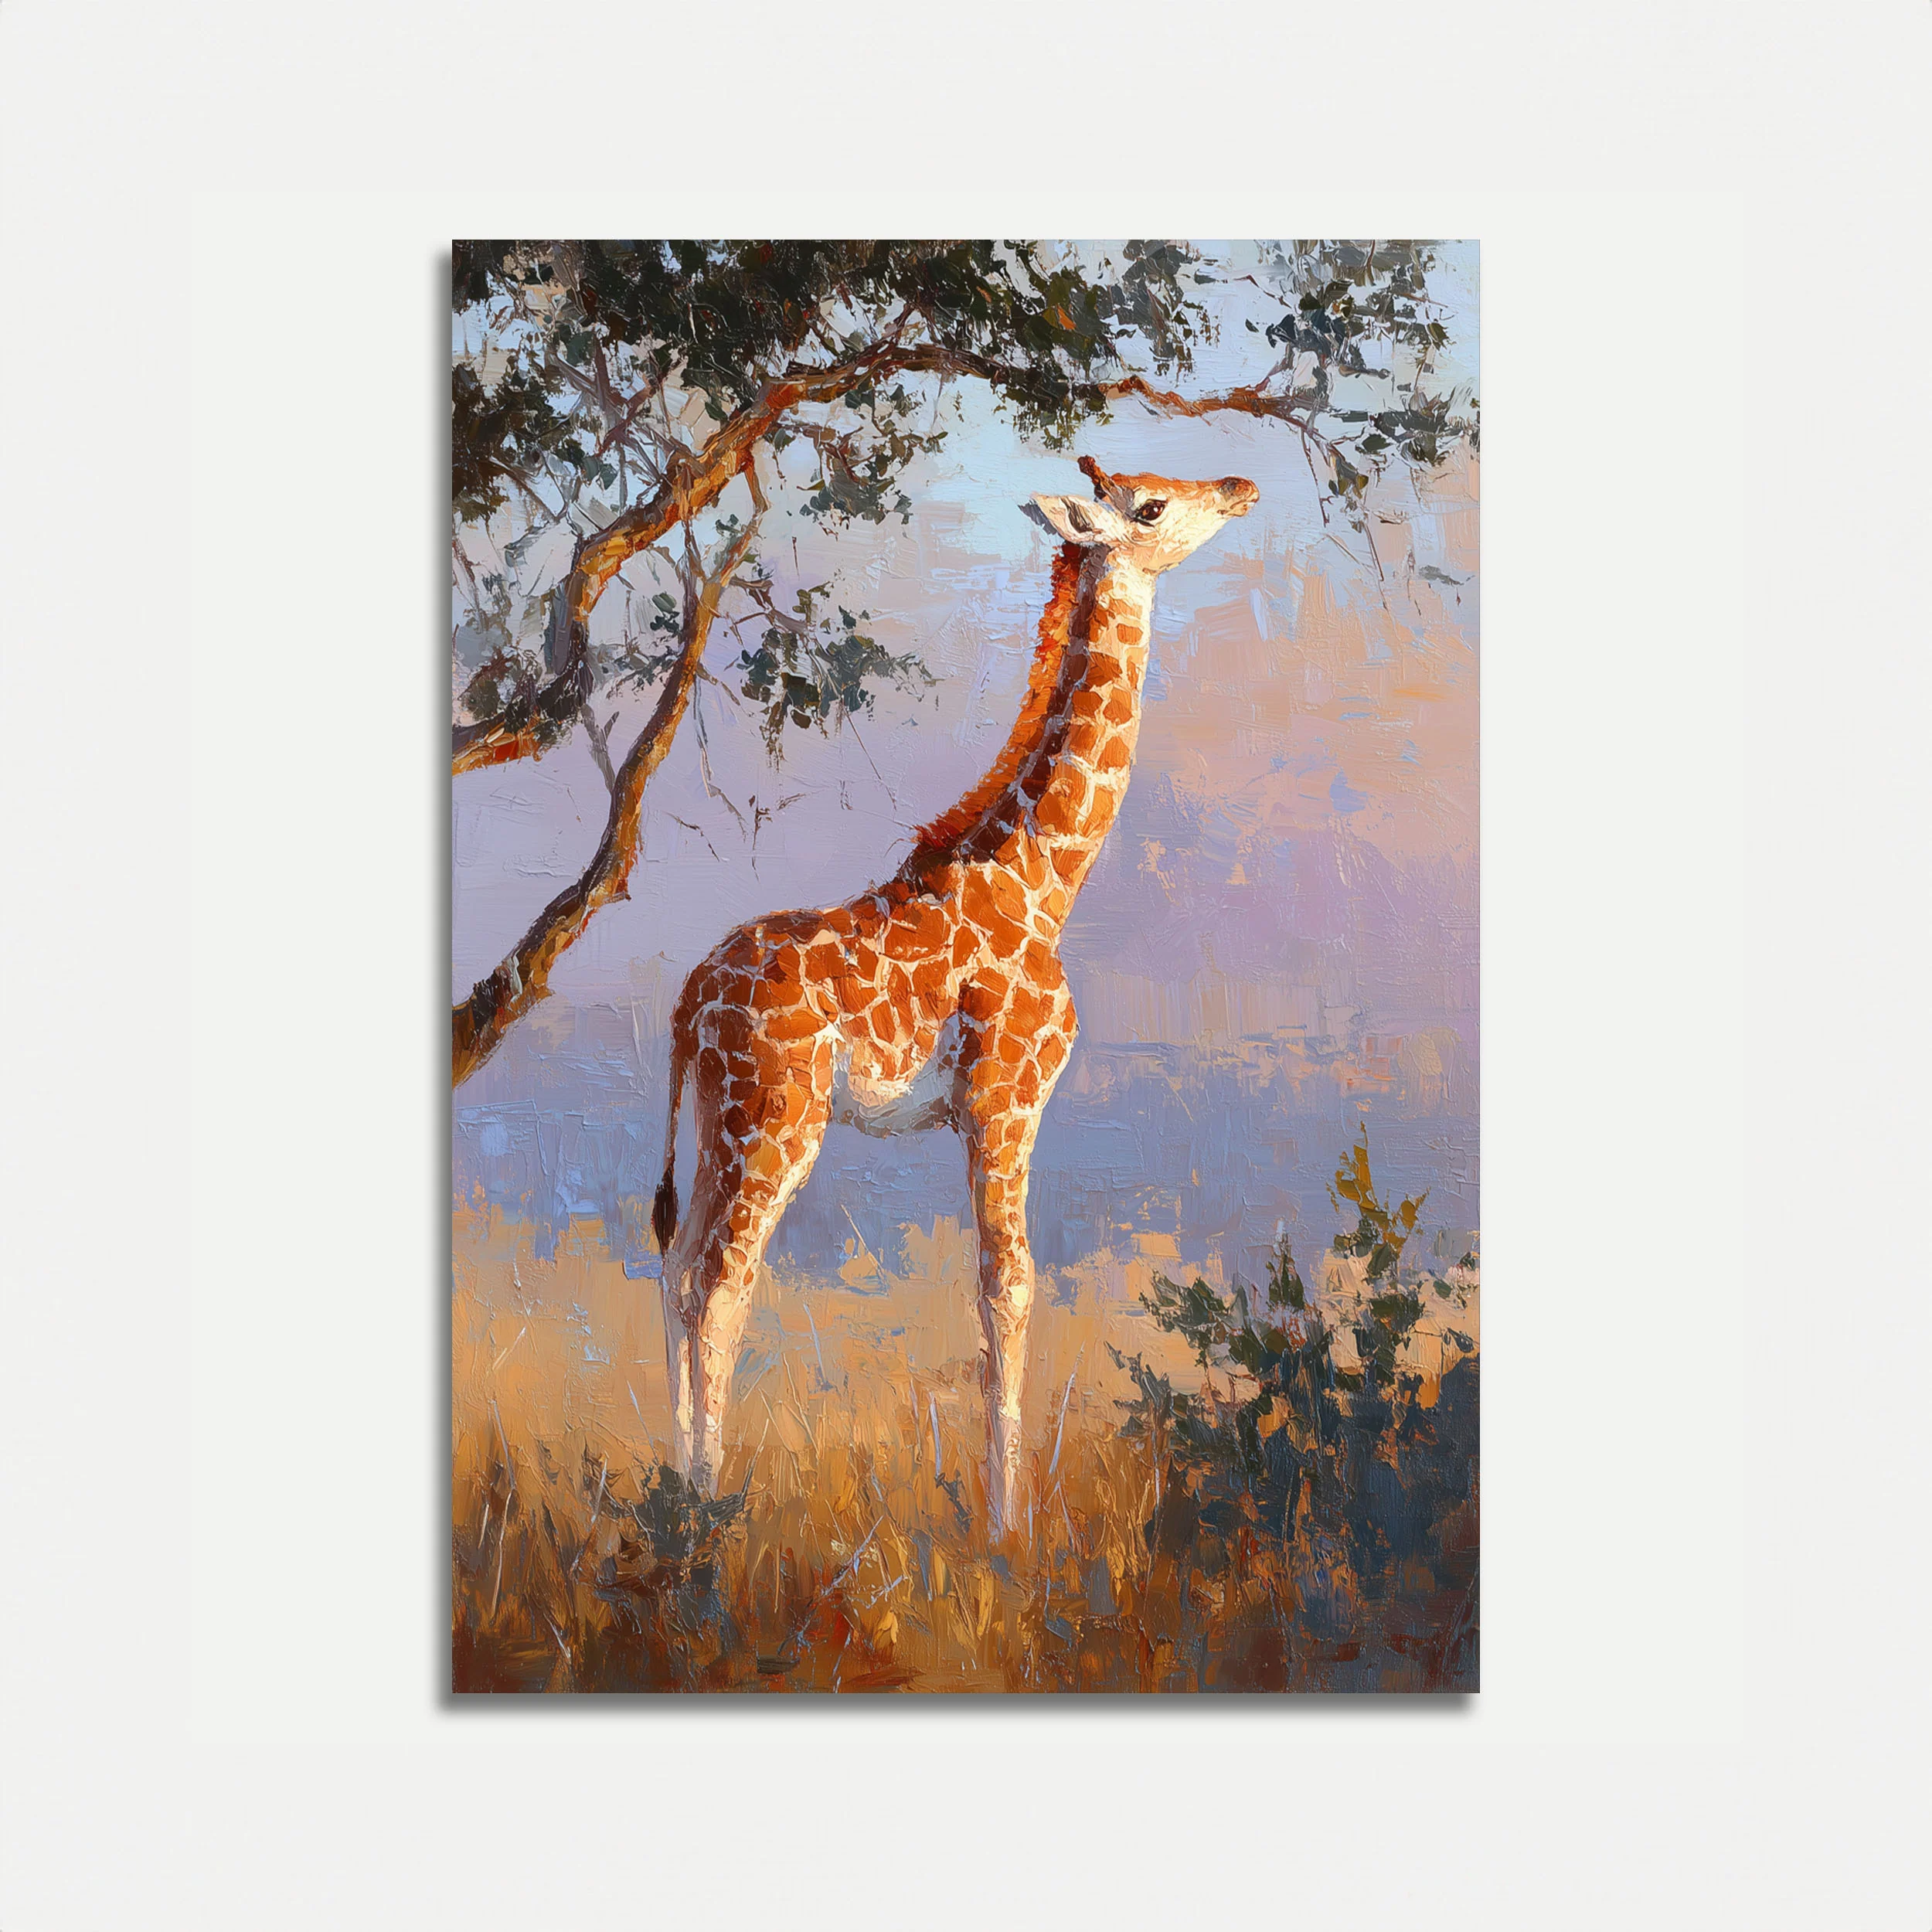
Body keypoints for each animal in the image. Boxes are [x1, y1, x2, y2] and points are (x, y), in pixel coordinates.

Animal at [652, 455, 1259, 1534]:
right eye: (1149, 505)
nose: (1239, 486)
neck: (1042, 881)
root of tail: (692, 998)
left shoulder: (984, 1111)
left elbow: (998, 1290)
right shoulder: (1004, 1101)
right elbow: (1008, 1289)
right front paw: (1007, 1525)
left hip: (720, 1114)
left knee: (679, 1267)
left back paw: (682, 1492)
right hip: (778, 1116)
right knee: (721, 1283)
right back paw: (712, 1516)